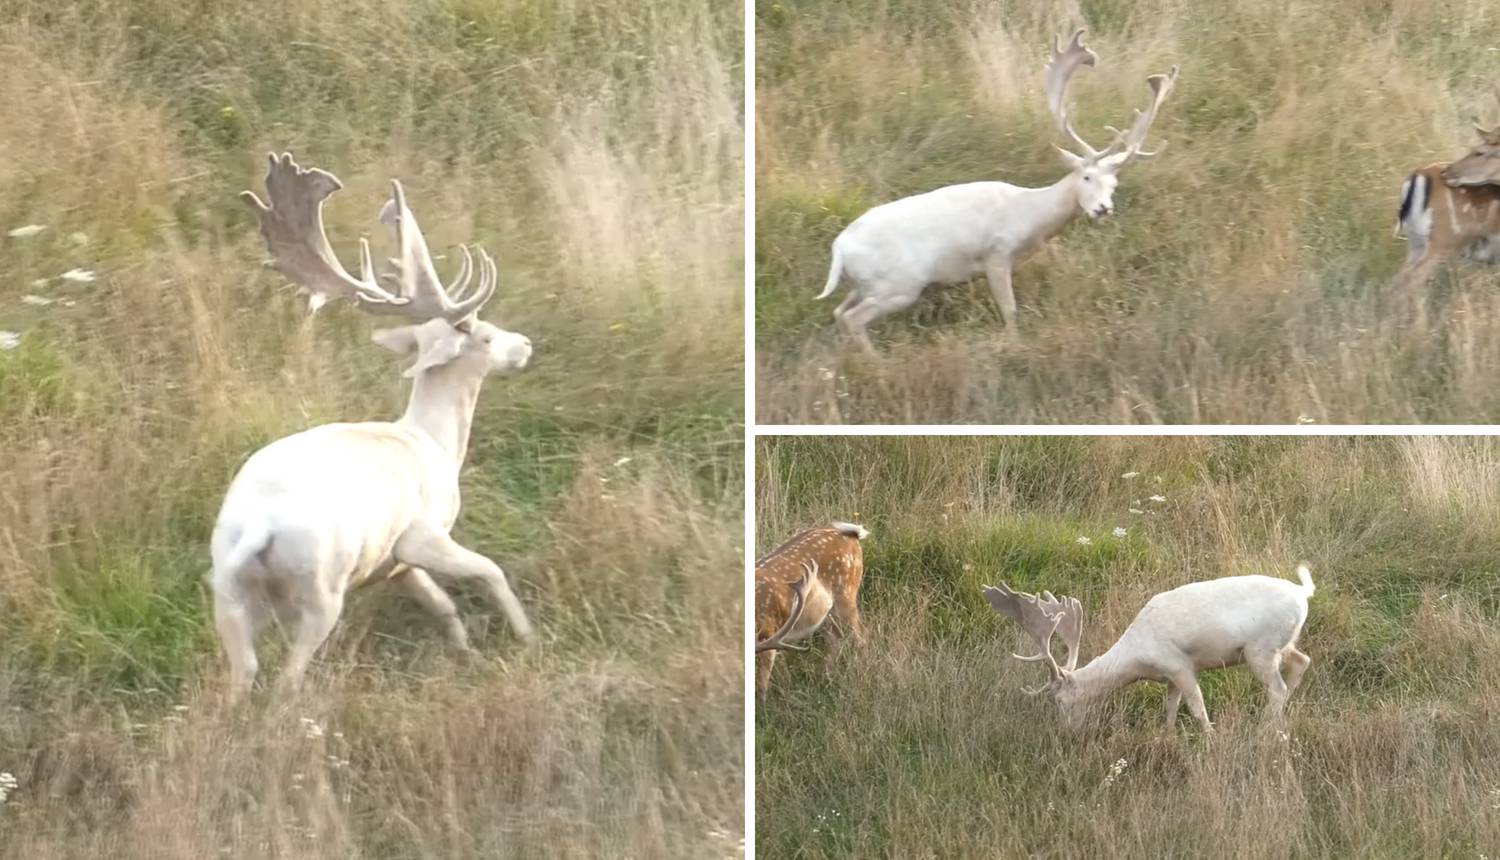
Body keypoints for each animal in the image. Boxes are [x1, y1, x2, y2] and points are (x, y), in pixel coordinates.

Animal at [210, 152, 540, 705]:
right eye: (486, 336)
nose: (526, 344)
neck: (434, 443)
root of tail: (258, 528)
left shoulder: (393, 562)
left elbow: (442, 603)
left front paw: (465, 651)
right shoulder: (421, 533)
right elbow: (490, 570)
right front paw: (525, 635)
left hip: (226, 588)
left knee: (242, 675)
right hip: (321, 587)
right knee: (286, 679)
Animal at [756, 519, 876, 693]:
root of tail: (853, 534)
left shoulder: (768, 630)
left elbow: (762, 683)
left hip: (846, 594)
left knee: (861, 637)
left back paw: (862, 676)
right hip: (821, 612)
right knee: (836, 635)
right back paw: (824, 679)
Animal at [816, 30, 1176, 345]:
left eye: (1114, 183)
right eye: (1086, 176)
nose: (1103, 209)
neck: (1028, 217)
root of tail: (839, 250)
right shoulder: (996, 254)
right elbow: (1010, 310)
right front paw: (1016, 345)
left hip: (866, 284)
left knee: (838, 312)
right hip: (899, 284)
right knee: (854, 318)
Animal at [984, 564, 1314, 732]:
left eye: (1061, 701)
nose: (1066, 731)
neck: (1138, 660)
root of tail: (1303, 592)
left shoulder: (1180, 666)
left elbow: (1197, 708)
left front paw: (1208, 739)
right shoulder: (1170, 677)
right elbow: (1170, 708)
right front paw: (1166, 738)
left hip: (1260, 649)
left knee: (1278, 688)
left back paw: (1264, 728)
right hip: (1282, 644)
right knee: (1302, 661)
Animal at [1392, 90, 1500, 289]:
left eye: (1479, 152)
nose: (1447, 171)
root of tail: (1416, 177)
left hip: (1415, 242)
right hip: (1444, 241)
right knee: (1410, 281)